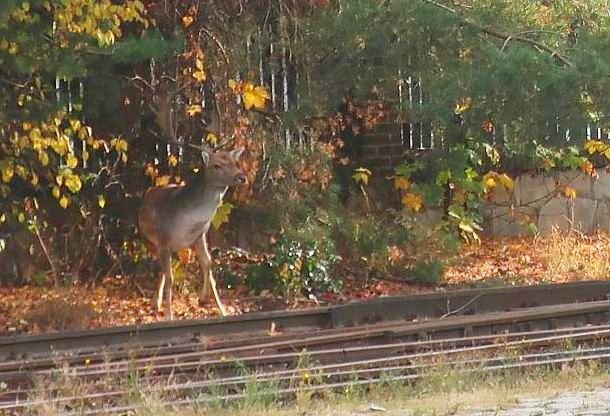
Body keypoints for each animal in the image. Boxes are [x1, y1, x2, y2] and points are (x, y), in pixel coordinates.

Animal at [137, 146, 245, 318]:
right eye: (216, 165)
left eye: (235, 162)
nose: (241, 177)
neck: (189, 221)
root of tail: (148, 191)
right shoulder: (164, 239)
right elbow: (170, 278)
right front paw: (169, 316)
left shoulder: (199, 236)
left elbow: (208, 264)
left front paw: (217, 307)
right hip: (150, 242)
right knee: (162, 269)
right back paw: (157, 303)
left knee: (162, 270)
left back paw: (156, 303)